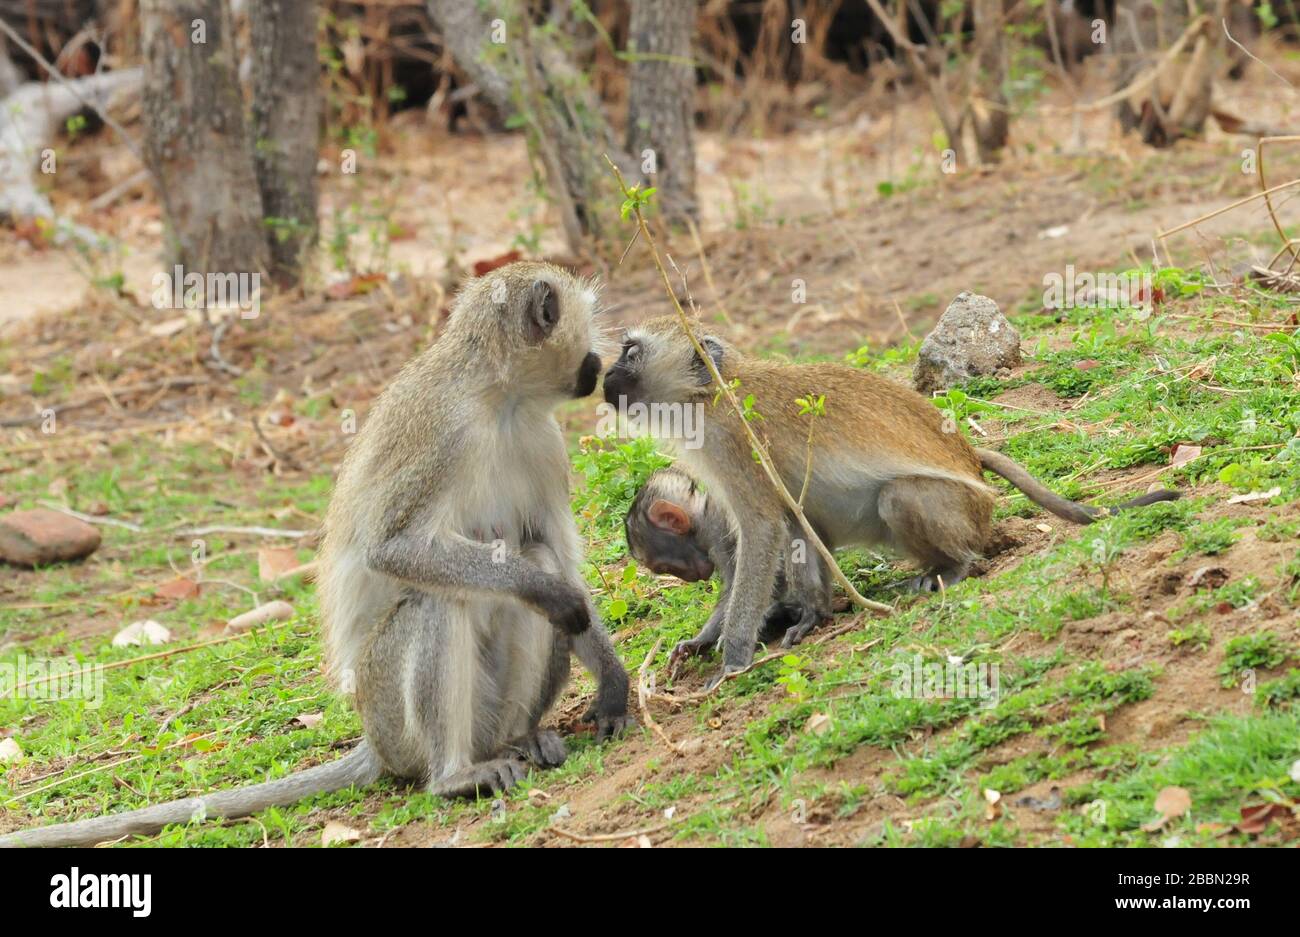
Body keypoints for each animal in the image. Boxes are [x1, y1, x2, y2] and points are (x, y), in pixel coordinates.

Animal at [0, 261, 629, 847]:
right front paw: (548, 596)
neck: (500, 401)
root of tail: (374, 742)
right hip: (388, 711)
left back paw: (521, 740)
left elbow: (564, 567)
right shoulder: (440, 433)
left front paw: (612, 682)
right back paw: (453, 775)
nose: (597, 366)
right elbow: (397, 549)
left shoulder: (544, 444)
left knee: (534, 565)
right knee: (443, 600)